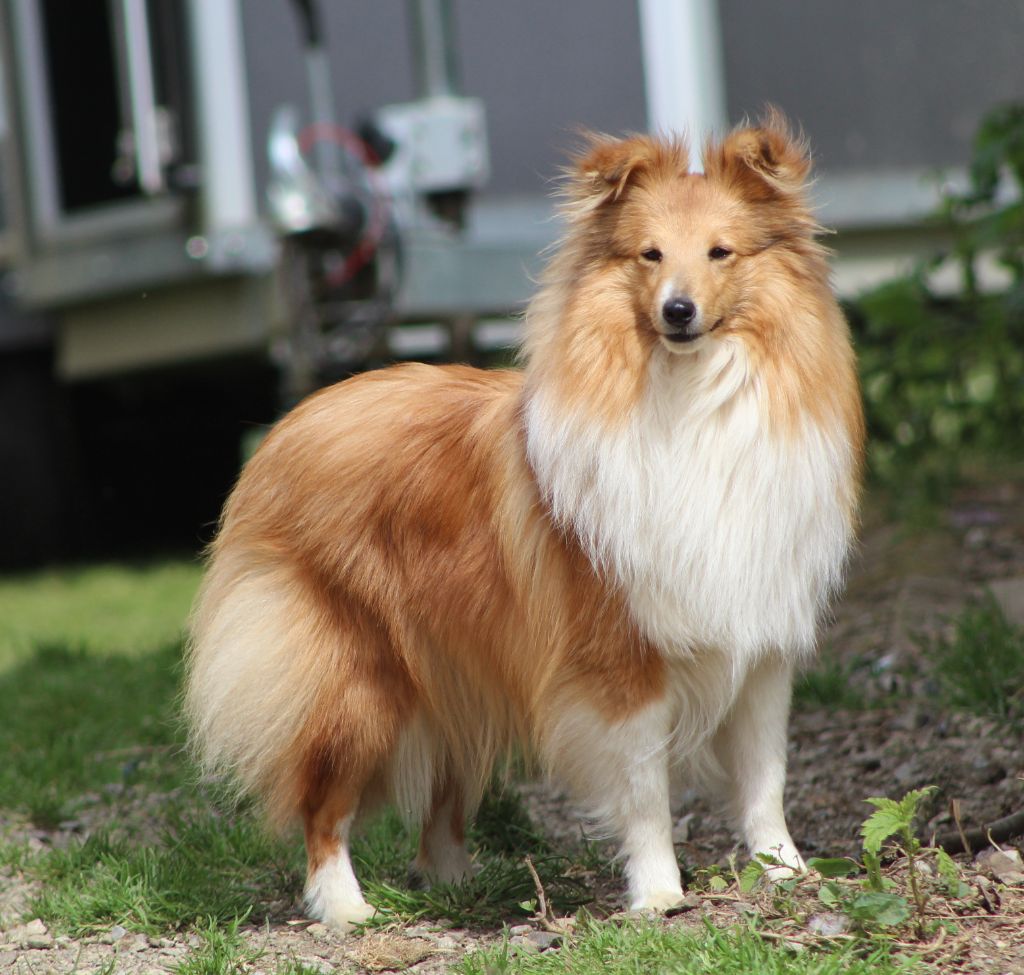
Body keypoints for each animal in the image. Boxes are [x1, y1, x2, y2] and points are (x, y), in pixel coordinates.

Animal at [184, 112, 864, 929]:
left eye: (720, 252)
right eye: (650, 255)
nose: (677, 311)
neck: (692, 399)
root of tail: (287, 428)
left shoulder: (758, 645)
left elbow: (765, 778)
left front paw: (787, 872)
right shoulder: (620, 660)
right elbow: (645, 791)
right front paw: (659, 893)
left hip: (451, 670)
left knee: (439, 800)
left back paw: (456, 885)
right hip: (355, 680)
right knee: (323, 804)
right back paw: (346, 907)